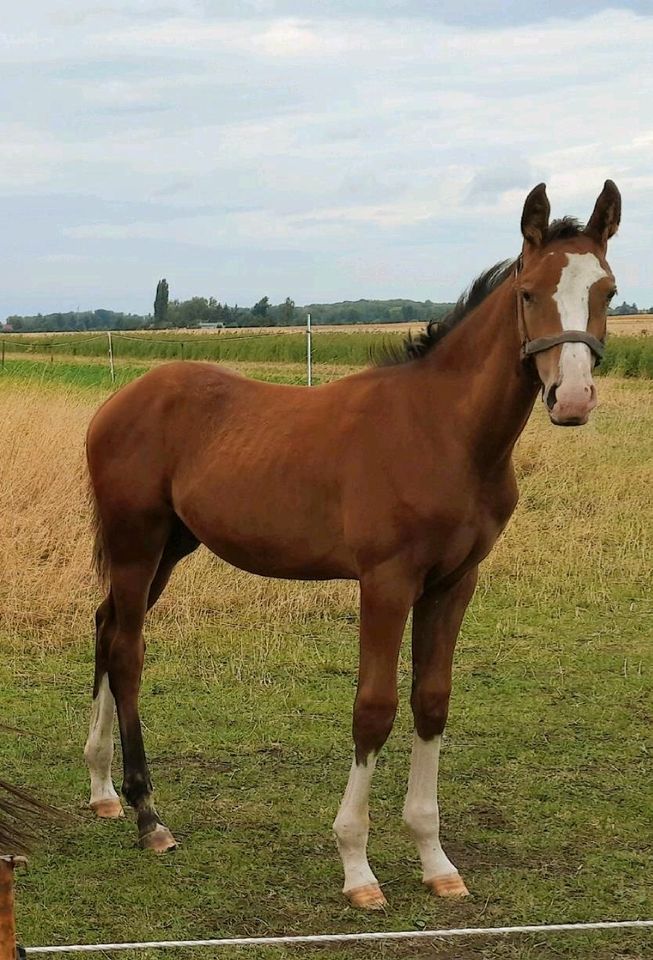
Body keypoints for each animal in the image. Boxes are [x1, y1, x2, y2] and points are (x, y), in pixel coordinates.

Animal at [84, 180, 620, 908]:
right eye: (528, 293)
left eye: (608, 291)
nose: (572, 399)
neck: (443, 432)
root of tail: (117, 402)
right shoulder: (386, 581)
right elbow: (374, 708)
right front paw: (357, 867)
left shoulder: (455, 582)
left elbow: (431, 702)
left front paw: (435, 860)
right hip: (136, 542)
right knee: (128, 651)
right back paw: (149, 816)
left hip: (170, 546)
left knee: (107, 627)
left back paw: (103, 789)